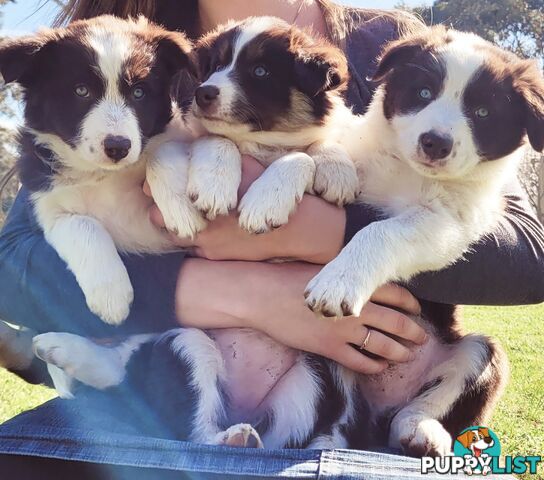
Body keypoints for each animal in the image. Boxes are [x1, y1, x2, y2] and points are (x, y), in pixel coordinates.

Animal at [0, 16, 204, 328]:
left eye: (139, 92)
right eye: (81, 91)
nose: (118, 147)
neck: (104, 173)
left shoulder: (173, 136)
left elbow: (162, 152)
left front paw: (182, 210)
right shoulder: (49, 205)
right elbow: (82, 225)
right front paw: (111, 297)